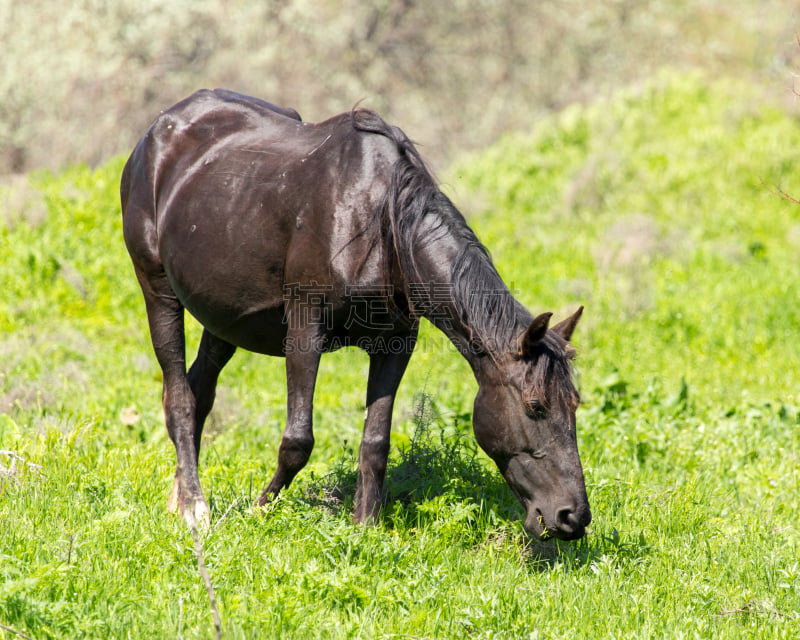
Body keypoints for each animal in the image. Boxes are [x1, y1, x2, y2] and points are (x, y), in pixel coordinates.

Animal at [120, 90, 592, 540]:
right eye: (535, 406)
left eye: (575, 403)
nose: (573, 517)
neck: (380, 224)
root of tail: (157, 132)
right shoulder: (304, 331)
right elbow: (298, 440)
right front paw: (259, 510)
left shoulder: (395, 344)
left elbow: (376, 442)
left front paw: (364, 527)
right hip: (157, 289)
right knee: (180, 397)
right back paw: (193, 508)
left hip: (224, 319)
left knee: (199, 390)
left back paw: (178, 497)